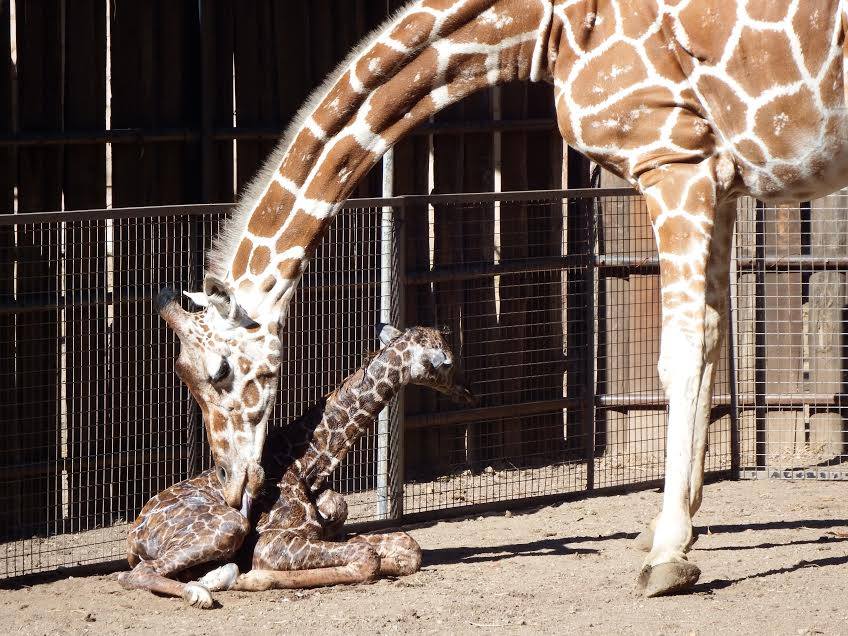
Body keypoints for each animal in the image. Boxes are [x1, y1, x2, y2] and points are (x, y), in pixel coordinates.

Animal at [119, 325, 473, 608]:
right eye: (449, 362)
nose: (469, 392)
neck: (310, 466)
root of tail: (135, 534)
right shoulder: (270, 544)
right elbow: (366, 559)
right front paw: (252, 578)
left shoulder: (332, 529)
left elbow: (407, 547)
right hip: (230, 524)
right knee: (134, 573)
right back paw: (201, 592)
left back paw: (213, 576)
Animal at [158, 0, 848, 596]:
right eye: (183, 374)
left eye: (220, 372)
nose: (234, 488)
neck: (544, 25)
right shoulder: (719, 179)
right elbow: (715, 338)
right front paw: (674, 525)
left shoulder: (674, 161)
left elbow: (683, 349)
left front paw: (668, 555)